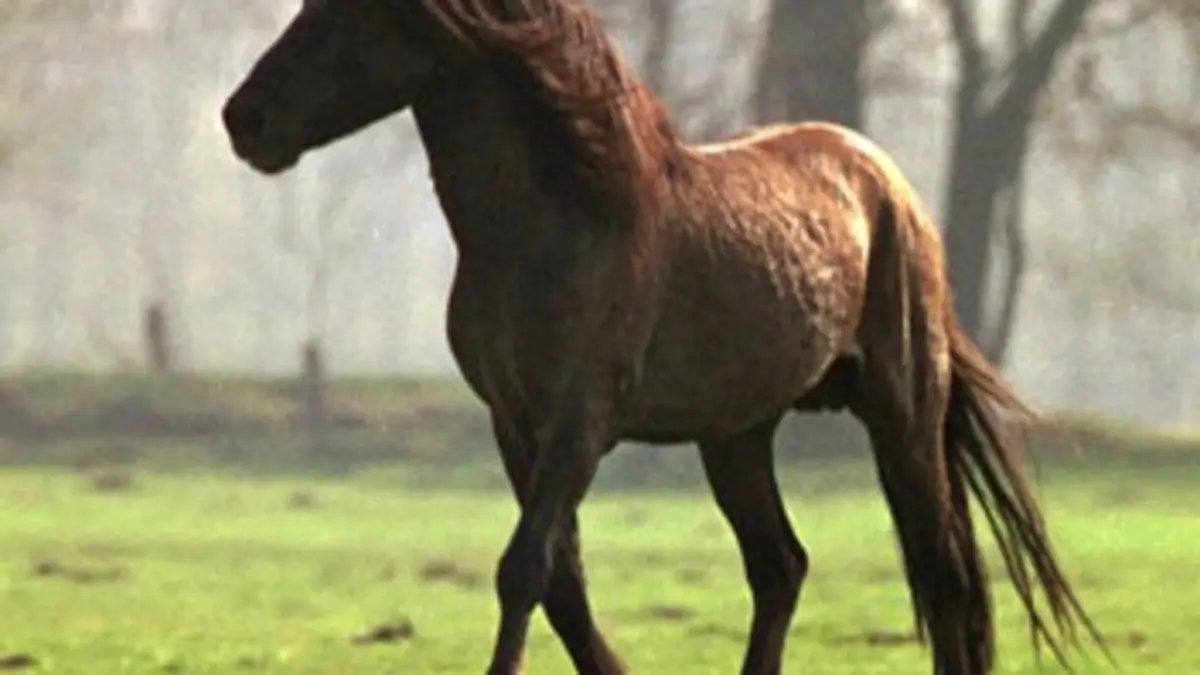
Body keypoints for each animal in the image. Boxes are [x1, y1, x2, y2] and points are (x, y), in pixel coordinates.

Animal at [221, 1, 1105, 673]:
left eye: (345, 13)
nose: (242, 119)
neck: (559, 219)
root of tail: (888, 183)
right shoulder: (515, 422)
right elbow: (562, 589)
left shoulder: (580, 420)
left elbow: (524, 570)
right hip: (737, 433)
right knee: (781, 566)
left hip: (902, 411)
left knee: (943, 576)